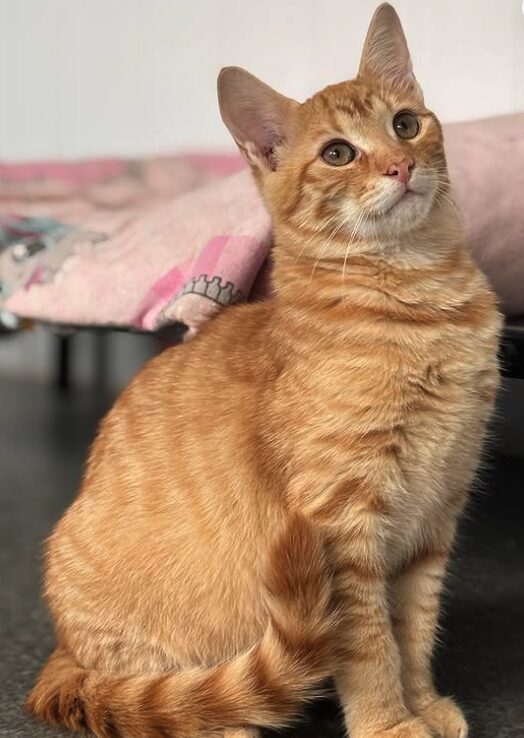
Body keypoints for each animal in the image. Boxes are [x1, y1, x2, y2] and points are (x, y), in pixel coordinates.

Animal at [27, 5, 500, 736]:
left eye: (404, 123)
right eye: (338, 153)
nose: (399, 164)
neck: (423, 306)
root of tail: (61, 654)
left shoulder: (434, 515)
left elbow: (415, 628)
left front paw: (421, 704)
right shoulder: (342, 528)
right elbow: (370, 644)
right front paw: (388, 722)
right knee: (172, 698)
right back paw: (220, 716)